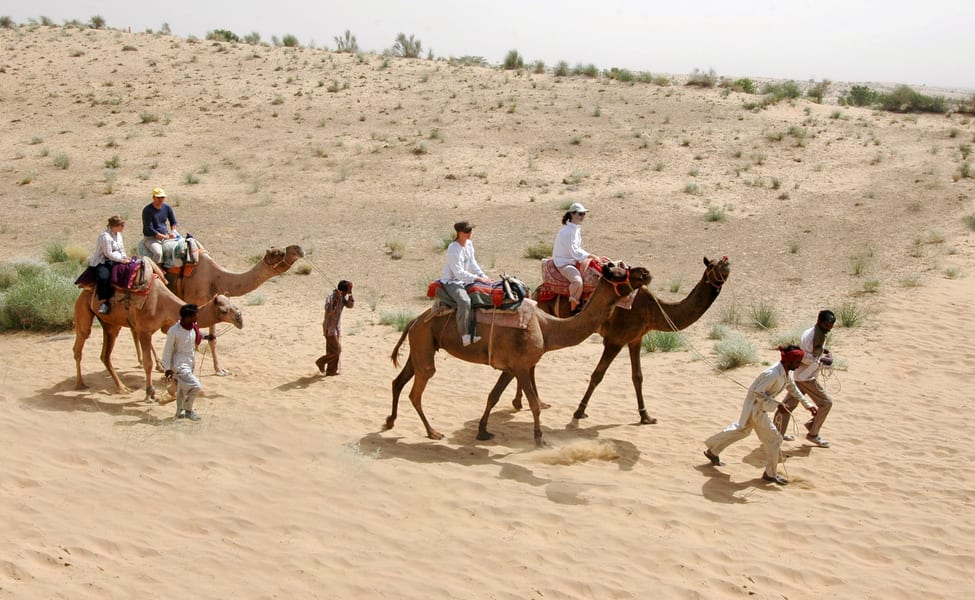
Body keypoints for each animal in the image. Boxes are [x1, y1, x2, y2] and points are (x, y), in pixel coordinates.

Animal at [75, 264, 246, 400]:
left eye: (233, 304)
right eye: (224, 310)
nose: (240, 319)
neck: (162, 302)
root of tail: (84, 290)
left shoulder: (166, 327)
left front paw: (173, 388)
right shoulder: (144, 330)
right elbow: (148, 364)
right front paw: (150, 393)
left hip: (111, 324)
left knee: (105, 355)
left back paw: (122, 387)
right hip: (84, 308)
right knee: (81, 342)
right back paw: (81, 384)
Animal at [139, 244, 304, 376]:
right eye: (278, 253)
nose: (299, 249)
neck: (216, 277)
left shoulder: (211, 303)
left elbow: (212, 339)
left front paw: (219, 370)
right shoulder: (194, 302)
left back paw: (146, 362)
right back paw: (158, 364)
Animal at [386, 262, 652, 446]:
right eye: (618, 272)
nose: (646, 272)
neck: (547, 327)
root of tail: (413, 320)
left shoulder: (510, 367)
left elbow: (493, 396)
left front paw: (482, 431)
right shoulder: (522, 366)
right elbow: (533, 404)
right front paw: (539, 439)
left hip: (420, 345)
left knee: (398, 381)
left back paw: (390, 421)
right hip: (424, 346)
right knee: (416, 391)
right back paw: (432, 432)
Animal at [520, 255, 732, 424]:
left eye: (723, 262)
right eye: (713, 265)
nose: (727, 264)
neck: (653, 309)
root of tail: (537, 290)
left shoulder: (635, 338)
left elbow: (637, 377)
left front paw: (646, 416)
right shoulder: (615, 340)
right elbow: (597, 375)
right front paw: (579, 411)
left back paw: (531, 402)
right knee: (532, 362)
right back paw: (535, 402)